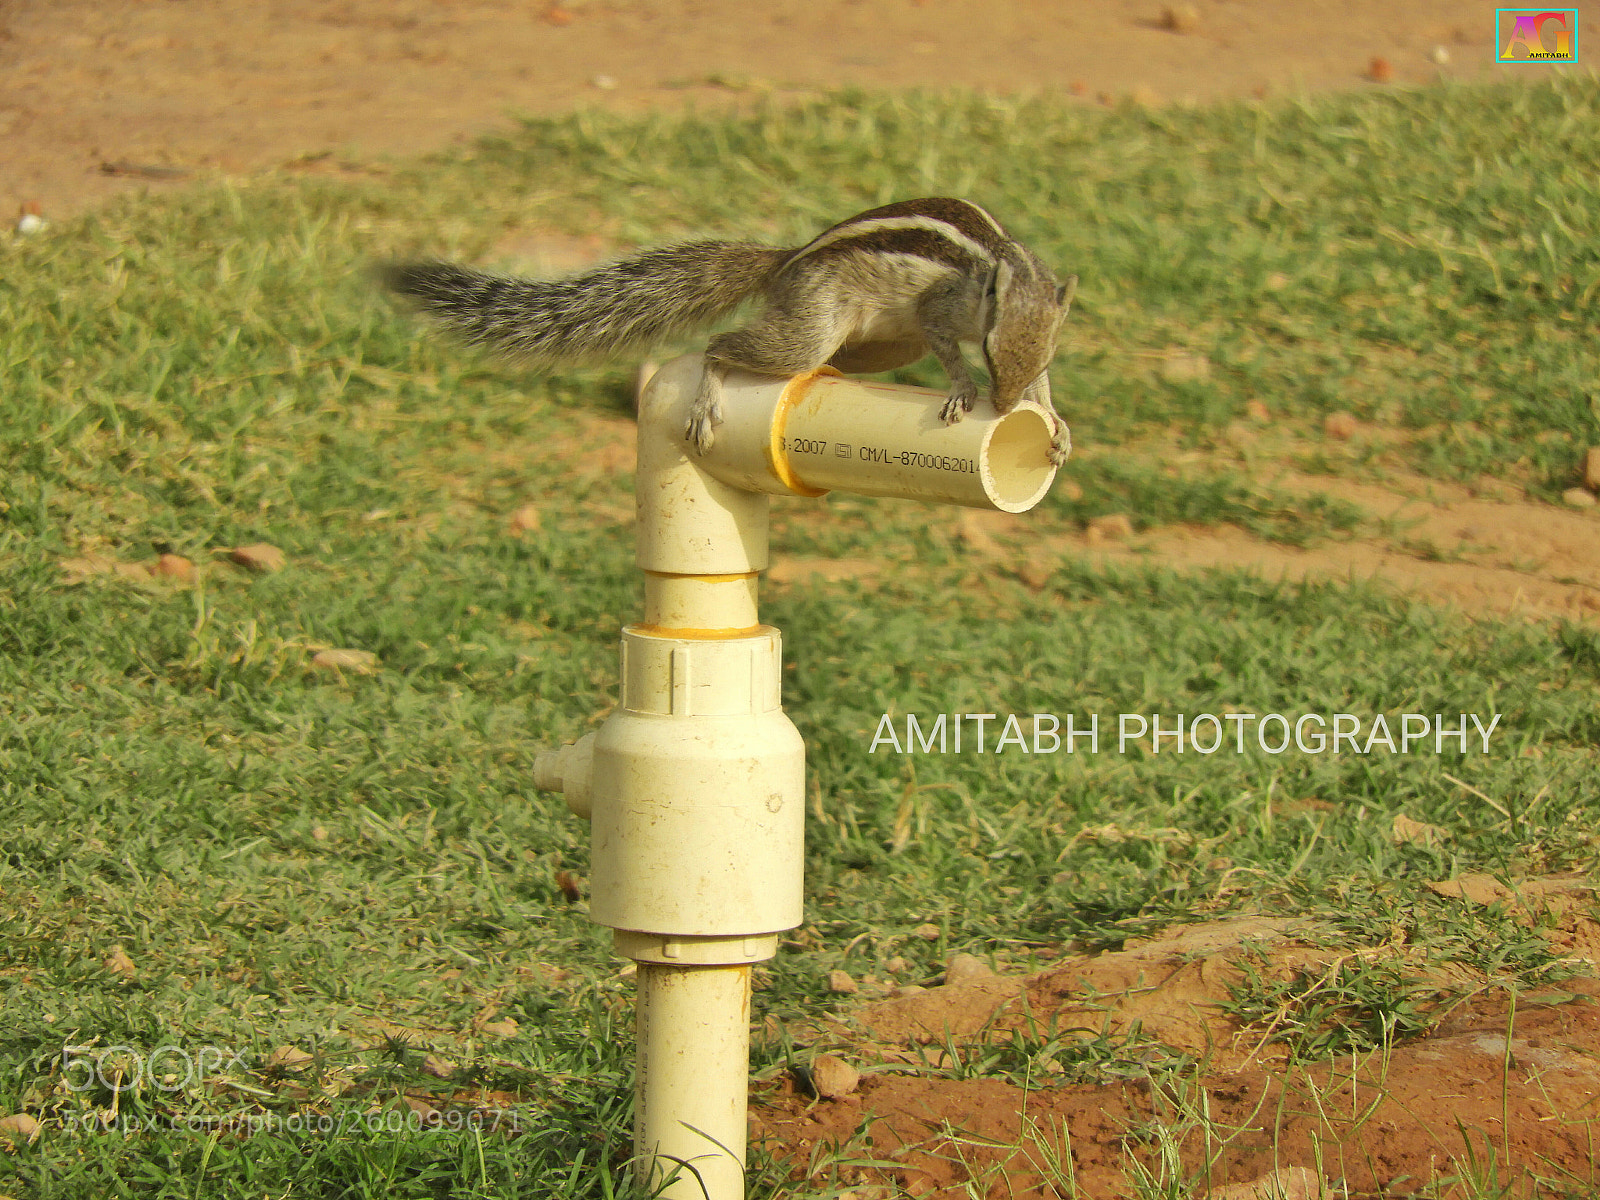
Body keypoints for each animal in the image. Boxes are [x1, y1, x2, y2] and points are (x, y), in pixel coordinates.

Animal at [382, 197, 1075, 464]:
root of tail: (786, 260)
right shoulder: (939, 307)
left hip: (878, 346)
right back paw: (710, 396)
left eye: (1045, 356)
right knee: (721, 347)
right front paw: (961, 388)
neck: (997, 271)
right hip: (816, 321)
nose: (1005, 407)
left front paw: (1053, 422)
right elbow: (944, 343)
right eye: (990, 351)